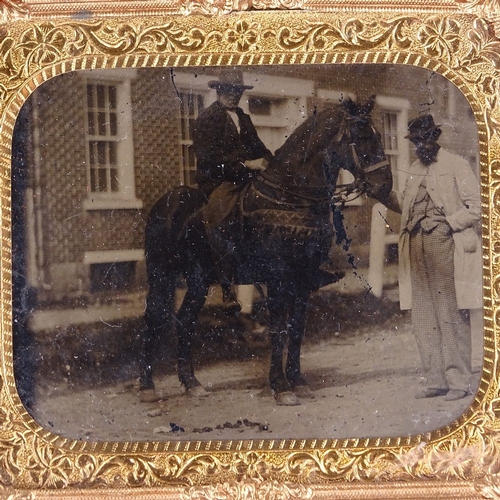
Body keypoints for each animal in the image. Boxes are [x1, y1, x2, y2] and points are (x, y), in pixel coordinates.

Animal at [139, 96, 392, 406]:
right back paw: (147, 386)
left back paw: (191, 383)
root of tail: (164, 203)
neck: (290, 197)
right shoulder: (278, 278)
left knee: (185, 320)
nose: (386, 185)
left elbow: (296, 330)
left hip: (198, 279)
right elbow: (279, 330)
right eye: (363, 136)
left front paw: (298, 381)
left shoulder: (303, 279)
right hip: (161, 275)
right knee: (152, 319)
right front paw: (281, 387)